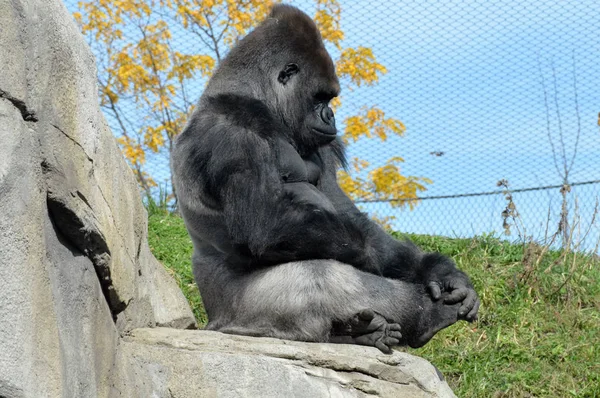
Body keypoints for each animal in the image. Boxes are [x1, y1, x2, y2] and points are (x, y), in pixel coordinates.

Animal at [171, 2, 480, 352]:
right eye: (320, 98)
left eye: (329, 100)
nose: (330, 115)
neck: (252, 97)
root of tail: (214, 322)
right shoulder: (229, 134)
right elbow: (267, 224)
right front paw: (374, 259)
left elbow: (344, 211)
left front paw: (436, 270)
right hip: (244, 318)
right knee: (319, 276)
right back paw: (421, 317)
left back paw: (361, 332)